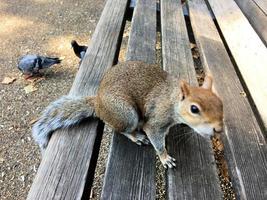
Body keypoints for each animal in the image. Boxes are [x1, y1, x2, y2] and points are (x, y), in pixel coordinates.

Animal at [33, 61, 224, 169]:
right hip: (126, 114)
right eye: (194, 109)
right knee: (122, 130)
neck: (172, 100)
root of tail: (99, 104)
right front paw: (165, 158)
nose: (219, 129)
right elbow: (156, 140)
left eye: (220, 103)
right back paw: (136, 136)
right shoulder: (155, 122)